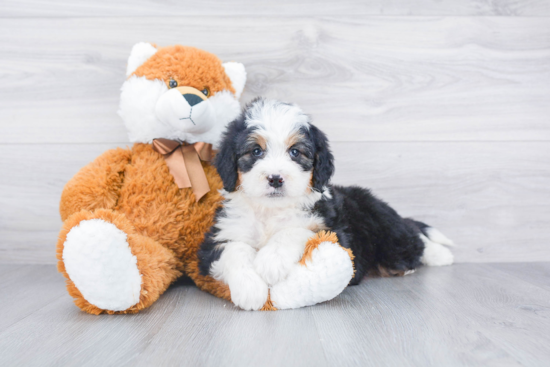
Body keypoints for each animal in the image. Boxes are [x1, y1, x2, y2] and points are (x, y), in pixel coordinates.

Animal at [201, 98, 454, 310]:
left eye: (295, 152)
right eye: (255, 151)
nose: (275, 178)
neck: (271, 211)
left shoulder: (335, 231)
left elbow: (296, 231)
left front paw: (270, 261)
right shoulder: (216, 239)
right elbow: (234, 250)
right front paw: (250, 288)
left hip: (387, 231)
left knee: (411, 240)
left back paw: (440, 255)